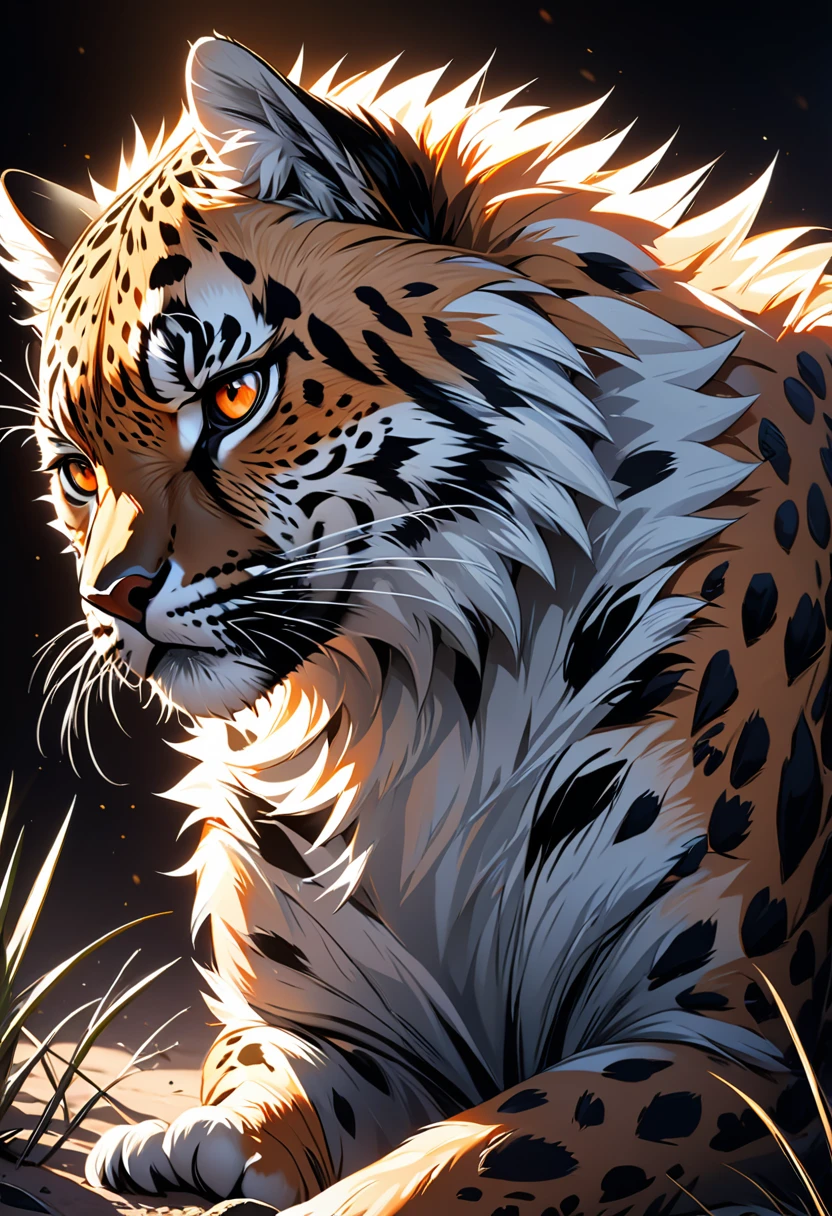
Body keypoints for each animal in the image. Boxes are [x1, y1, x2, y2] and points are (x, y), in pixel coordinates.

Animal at [2, 32, 832, 1216]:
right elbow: (269, 1071)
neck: (420, 706)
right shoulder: (342, 1029)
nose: (111, 596)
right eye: (75, 468)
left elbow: (489, 1151)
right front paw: (193, 1142)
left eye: (232, 396)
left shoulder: (734, 1035)